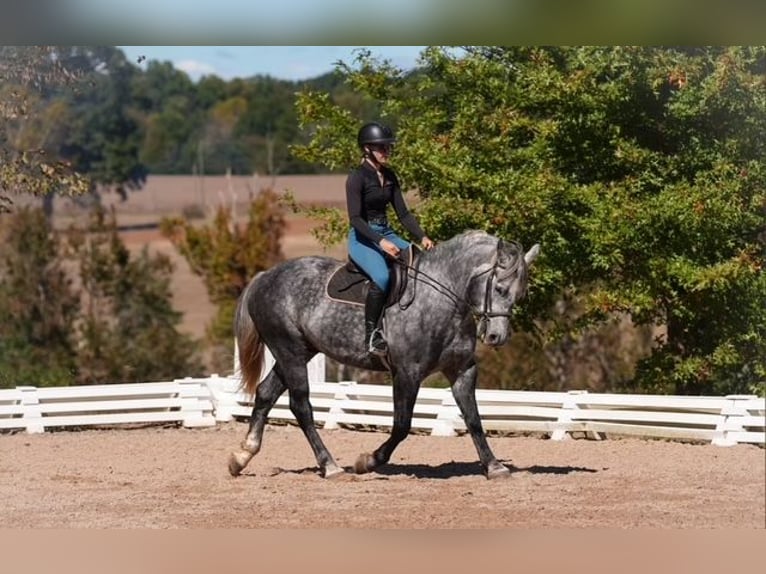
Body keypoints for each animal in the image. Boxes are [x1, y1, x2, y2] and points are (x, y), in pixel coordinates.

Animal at [228, 229, 540, 480]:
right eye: (499, 288)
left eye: (520, 294)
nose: (497, 337)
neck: (442, 299)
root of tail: (265, 277)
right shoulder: (407, 373)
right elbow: (402, 426)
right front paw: (368, 461)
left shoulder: (461, 370)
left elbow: (474, 419)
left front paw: (495, 466)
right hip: (289, 350)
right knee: (301, 405)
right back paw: (331, 466)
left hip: (298, 352)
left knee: (266, 393)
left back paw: (241, 457)